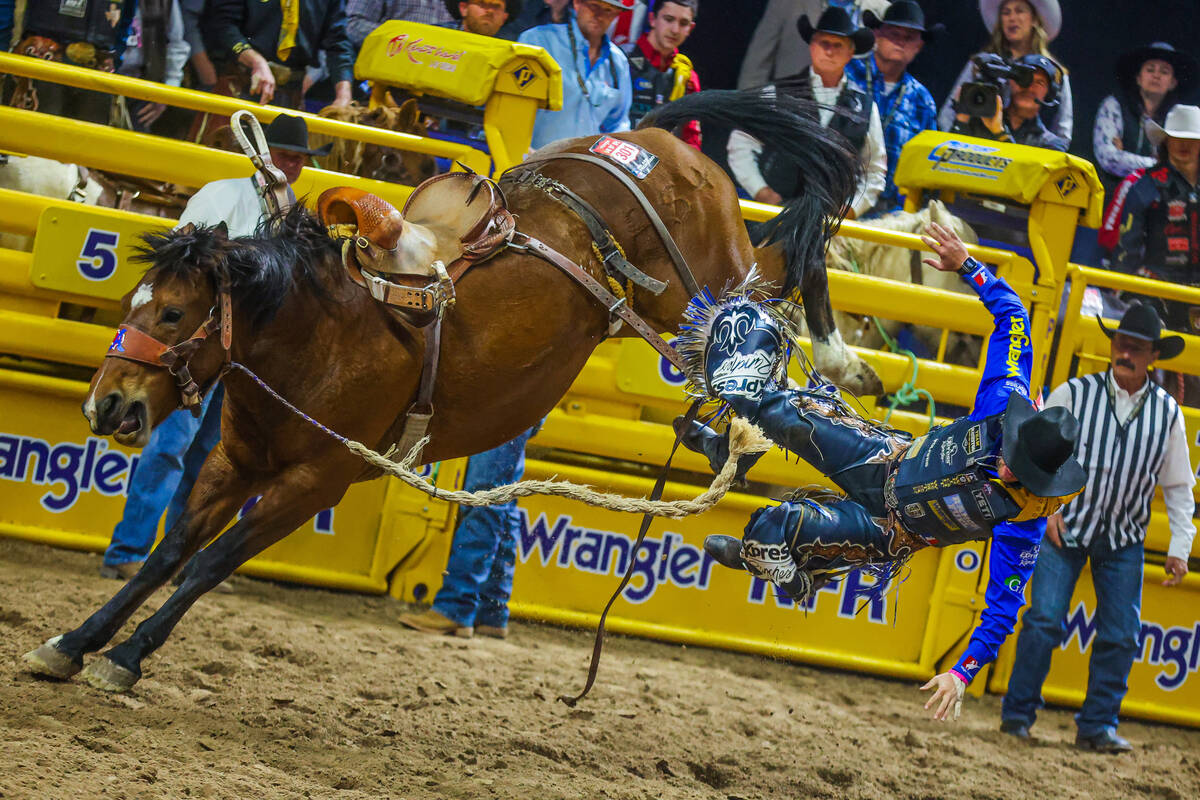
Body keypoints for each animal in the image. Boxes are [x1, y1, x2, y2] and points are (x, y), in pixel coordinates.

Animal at [23, 86, 878, 690]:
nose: (106, 402)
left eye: (171, 312)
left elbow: (209, 564)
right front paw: (73, 642)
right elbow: (170, 550)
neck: (320, 333)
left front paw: (127, 656)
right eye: (133, 304)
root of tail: (662, 140)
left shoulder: (319, 478)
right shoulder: (236, 458)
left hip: (711, 278)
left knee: (789, 267)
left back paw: (839, 364)